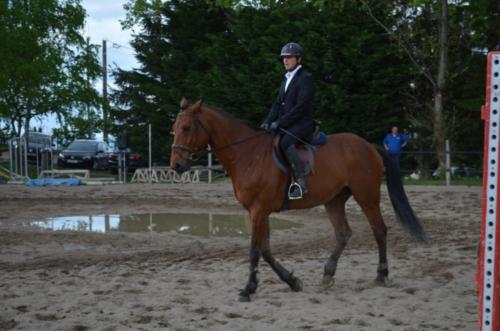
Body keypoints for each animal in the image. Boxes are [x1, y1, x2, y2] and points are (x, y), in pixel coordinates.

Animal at [171, 99, 426, 304]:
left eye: (186, 127)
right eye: (174, 129)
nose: (176, 165)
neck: (248, 154)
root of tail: (367, 145)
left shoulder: (259, 209)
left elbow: (255, 250)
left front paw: (248, 290)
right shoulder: (257, 212)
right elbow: (265, 249)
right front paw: (292, 281)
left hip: (367, 197)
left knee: (379, 230)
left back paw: (381, 275)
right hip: (334, 200)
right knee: (343, 233)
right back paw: (327, 274)